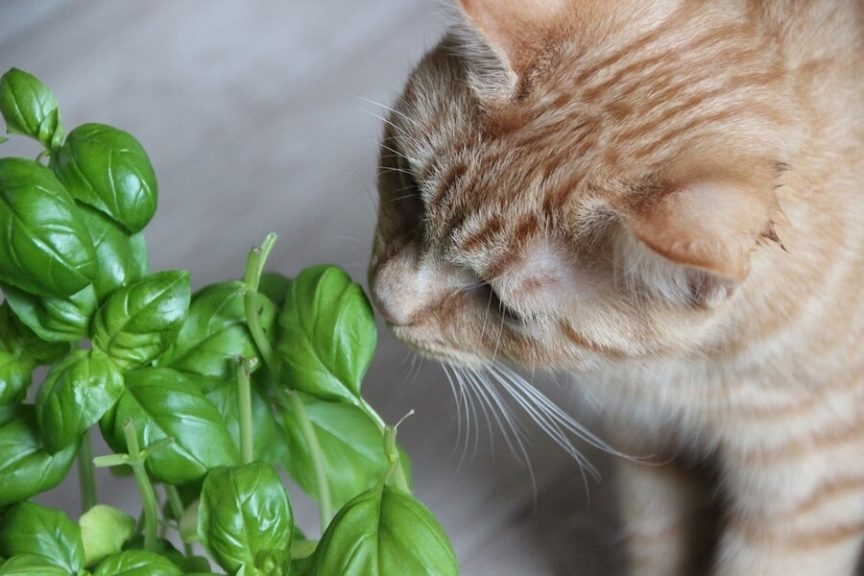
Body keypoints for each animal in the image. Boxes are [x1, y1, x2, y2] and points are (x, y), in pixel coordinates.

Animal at [368, 2, 864, 572]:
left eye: (500, 304)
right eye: (409, 187)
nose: (386, 303)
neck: (682, 372)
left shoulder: (808, 490)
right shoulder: (650, 448)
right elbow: (659, 546)